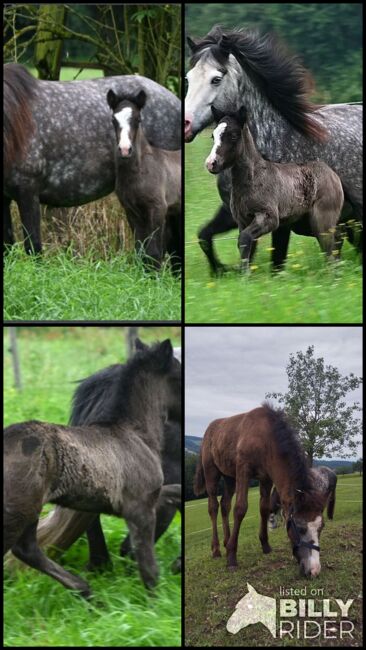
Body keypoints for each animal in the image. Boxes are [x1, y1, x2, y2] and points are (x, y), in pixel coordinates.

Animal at [196, 402, 328, 576]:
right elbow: (240, 509)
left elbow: (264, 508)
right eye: (300, 528)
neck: (265, 438)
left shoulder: (266, 478)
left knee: (225, 505)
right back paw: (217, 549)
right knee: (213, 507)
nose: (313, 570)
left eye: (321, 527)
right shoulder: (243, 471)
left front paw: (265, 545)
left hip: (230, 478)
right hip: (212, 473)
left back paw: (226, 541)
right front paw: (231, 557)